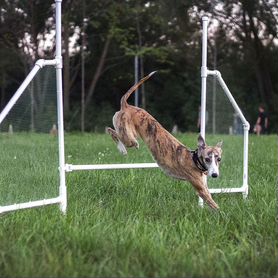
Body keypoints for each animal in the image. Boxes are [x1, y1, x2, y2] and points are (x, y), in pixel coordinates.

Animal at [107, 71, 223, 208]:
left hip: (131, 133)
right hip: (127, 136)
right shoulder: (200, 189)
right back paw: (122, 149)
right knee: (111, 131)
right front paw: (223, 213)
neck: (194, 160)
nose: (215, 175)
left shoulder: (204, 186)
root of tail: (126, 105)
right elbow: (215, 206)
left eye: (219, 159)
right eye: (207, 159)